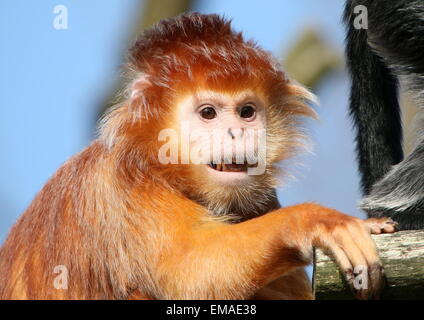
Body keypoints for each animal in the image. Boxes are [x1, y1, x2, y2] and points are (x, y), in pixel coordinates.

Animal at [0, 11, 394, 298]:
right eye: (208, 113)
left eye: (246, 112)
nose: (236, 132)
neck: (160, 168)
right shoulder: (121, 187)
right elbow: (189, 274)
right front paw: (314, 220)